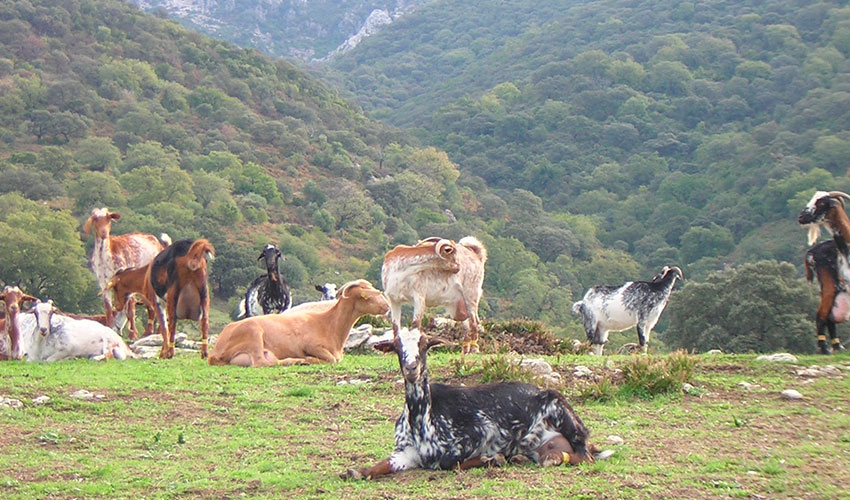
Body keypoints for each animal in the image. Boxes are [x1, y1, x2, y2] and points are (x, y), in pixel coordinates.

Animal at [83, 207, 169, 338]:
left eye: (109, 218)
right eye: (96, 219)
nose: (104, 233)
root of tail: (160, 246)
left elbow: (130, 308)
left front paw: (133, 335)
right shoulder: (103, 282)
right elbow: (108, 307)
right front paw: (111, 328)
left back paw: (153, 332)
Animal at [209, 280, 389, 367]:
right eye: (366, 296)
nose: (387, 306)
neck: (329, 324)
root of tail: (215, 353)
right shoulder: (310, 345)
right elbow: (331, 359)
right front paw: (309, 359)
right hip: (253, 333)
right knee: (262, 363)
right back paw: (296, 361)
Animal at [342, 328, 599, 480]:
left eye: (424, 344)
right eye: (397, 347)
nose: (411, 368)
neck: (422, 419)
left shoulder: (480, 432)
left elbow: (452, 463)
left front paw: (492, 459)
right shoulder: (406, 452)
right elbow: (381, 464)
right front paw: (355, 471)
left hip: (561, 412)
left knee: (585, 456)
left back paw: (550, 458)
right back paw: (522, 457)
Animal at [798, 190, 850, 353]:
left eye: (821, 203)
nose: (801, 217)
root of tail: (811, 252)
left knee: (828, 317)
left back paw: (837, 347)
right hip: (829, 283)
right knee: (822, 315)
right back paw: (825, 348)